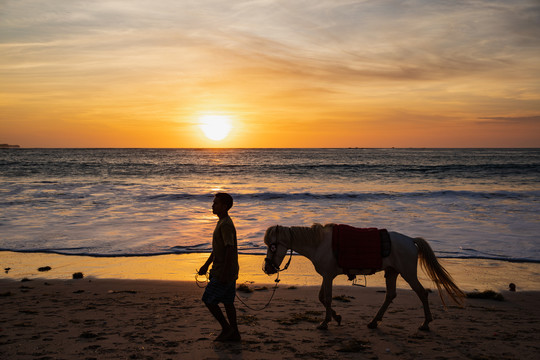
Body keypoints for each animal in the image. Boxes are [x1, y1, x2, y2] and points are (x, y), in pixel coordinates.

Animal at [262, 224, 464, 330]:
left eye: (272, 246)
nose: (266, 268)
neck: (319, 244)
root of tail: (410, 240)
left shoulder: (328, 276)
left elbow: (327, 298)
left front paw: (325, 322)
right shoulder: (327, 276)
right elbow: (321, 298)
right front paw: (337, 317)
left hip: (408, 273)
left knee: (422, 293)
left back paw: (425, 323)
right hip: (392, 272)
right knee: (390, 295)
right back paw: (374, 321)